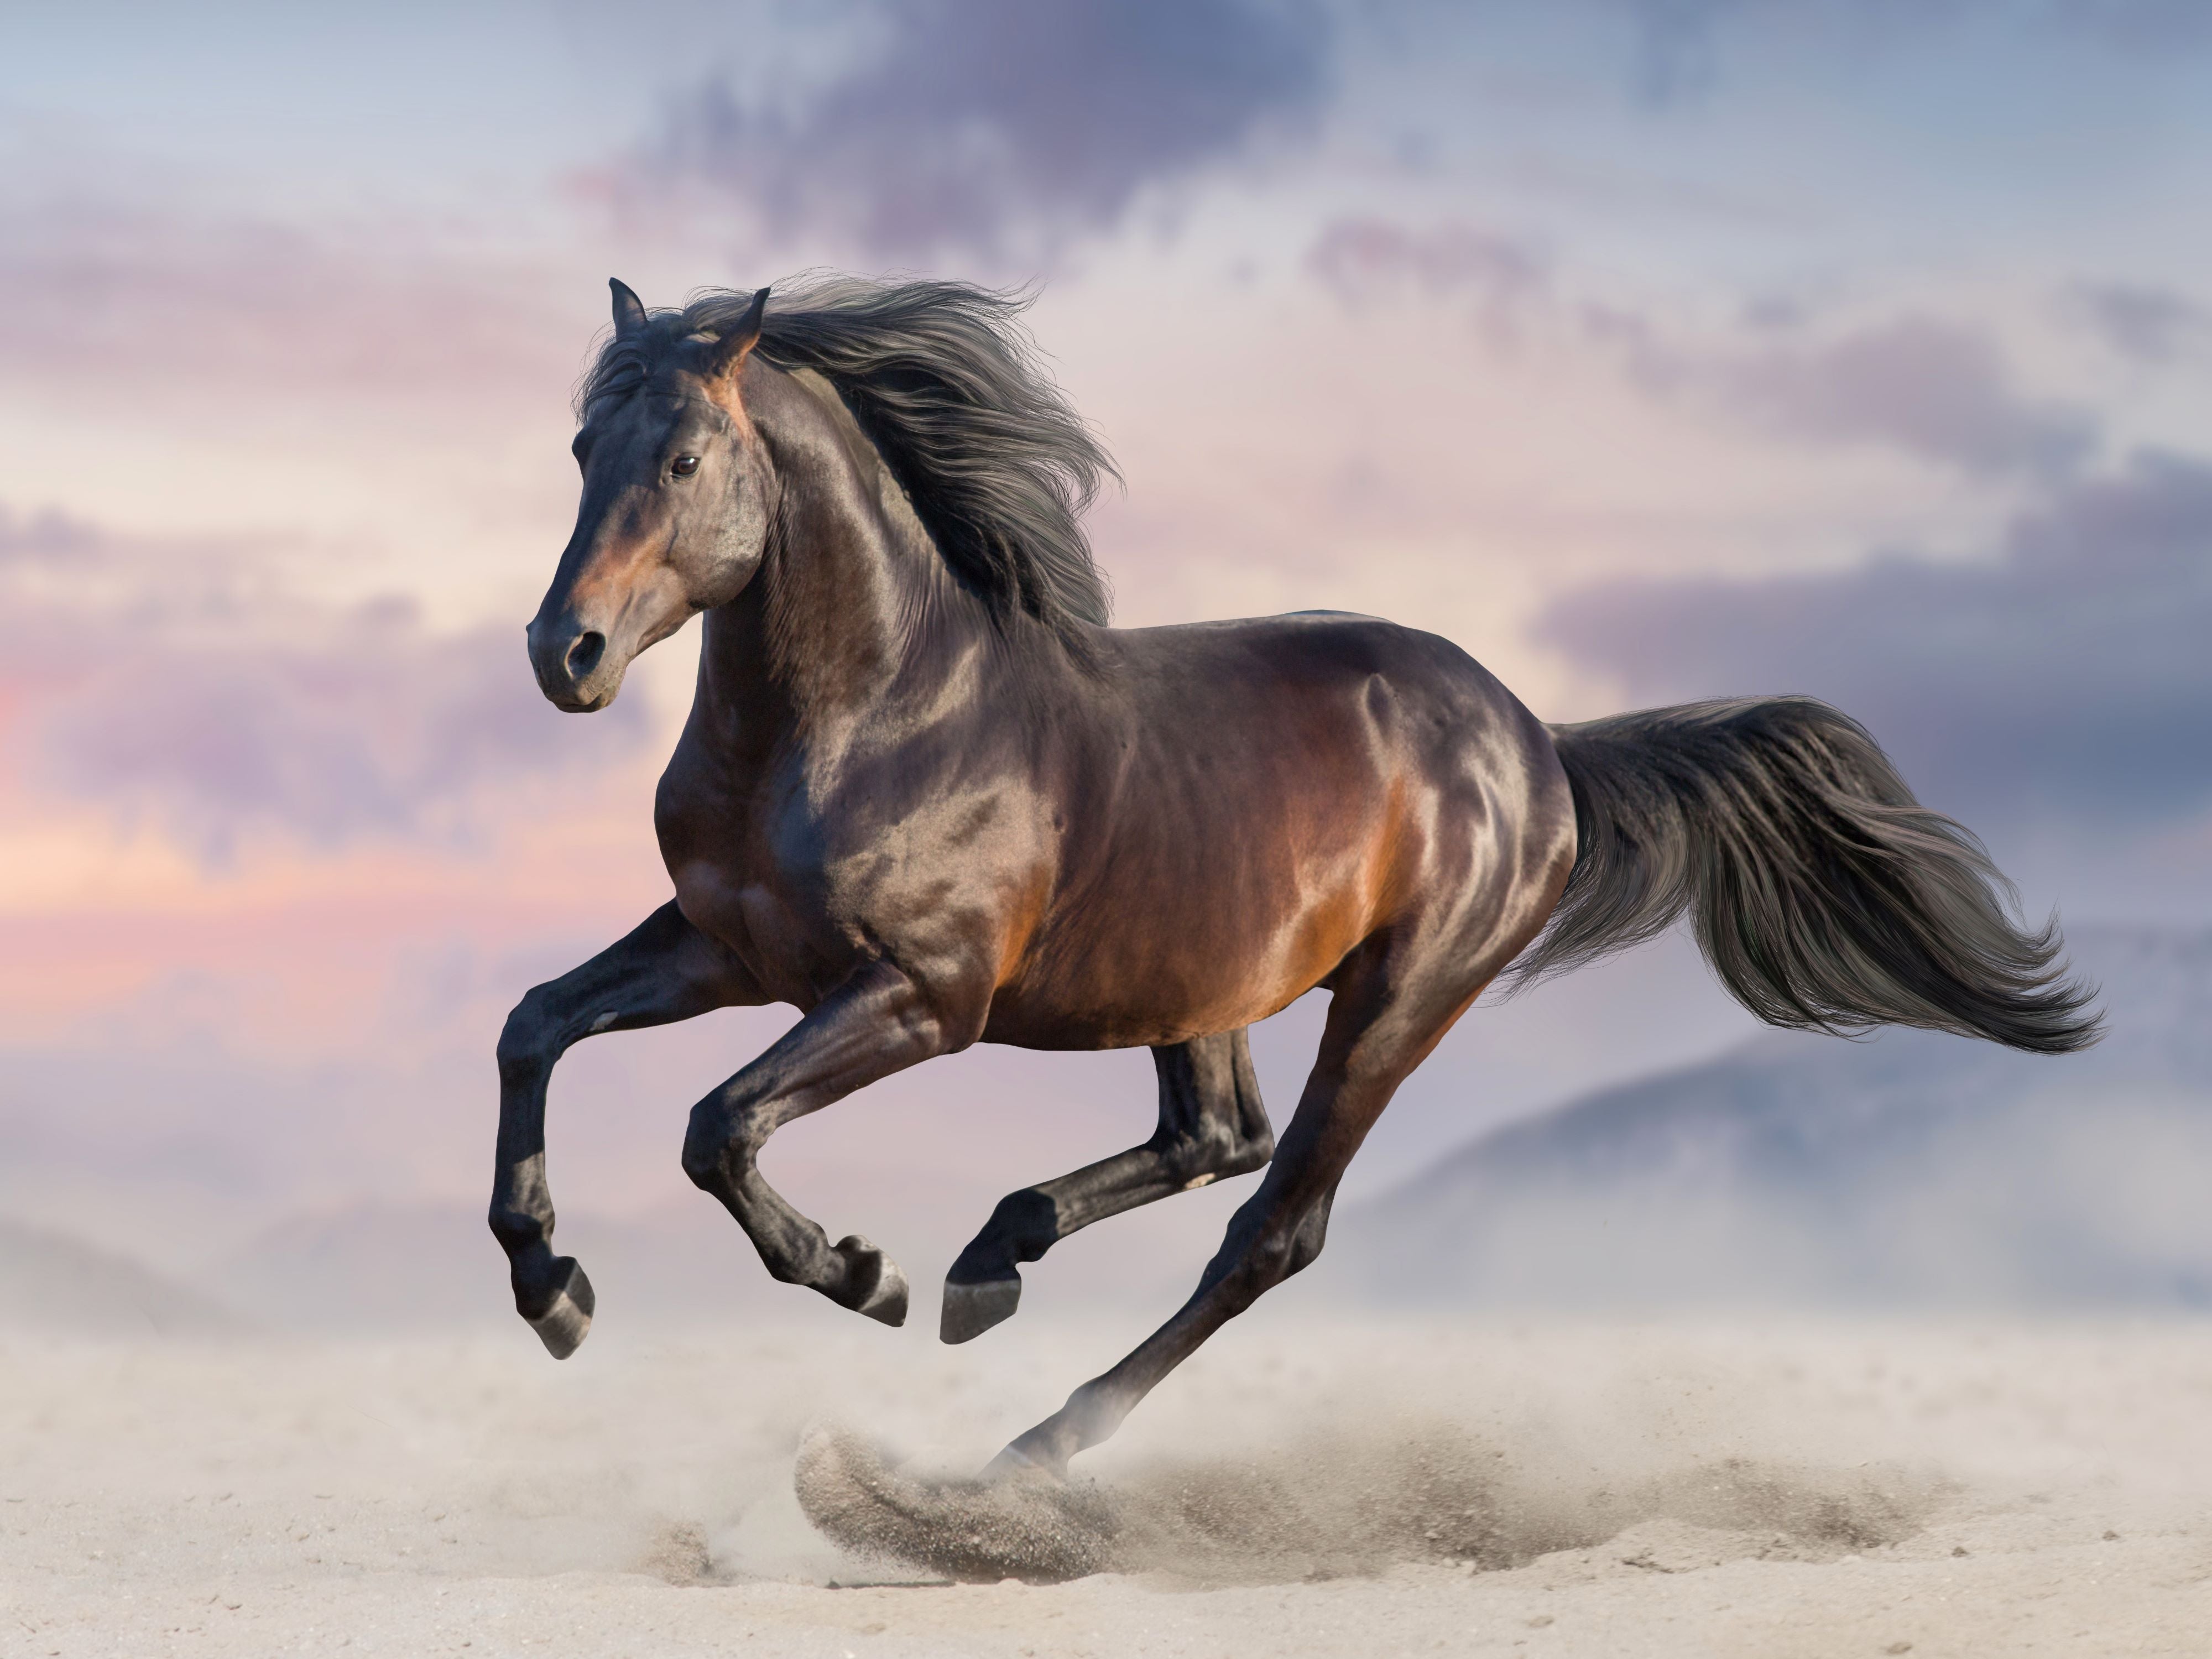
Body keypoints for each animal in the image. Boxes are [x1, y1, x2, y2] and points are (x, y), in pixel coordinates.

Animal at [484, 276, 2088, 1478]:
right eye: (577, 453)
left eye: (682, 459)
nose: (564, 654)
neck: (880, 709)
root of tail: (1538, 743)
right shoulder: (730, 948)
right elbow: (535, 1025)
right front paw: (553, 1291)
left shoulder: (921, 997)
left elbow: (716, 1126)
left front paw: (856, 1271)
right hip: (1195, 974)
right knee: (1216, 1136)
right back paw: (992, 1265)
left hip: (1396, 998)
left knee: (1272, 1223)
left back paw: (1029, 1443)